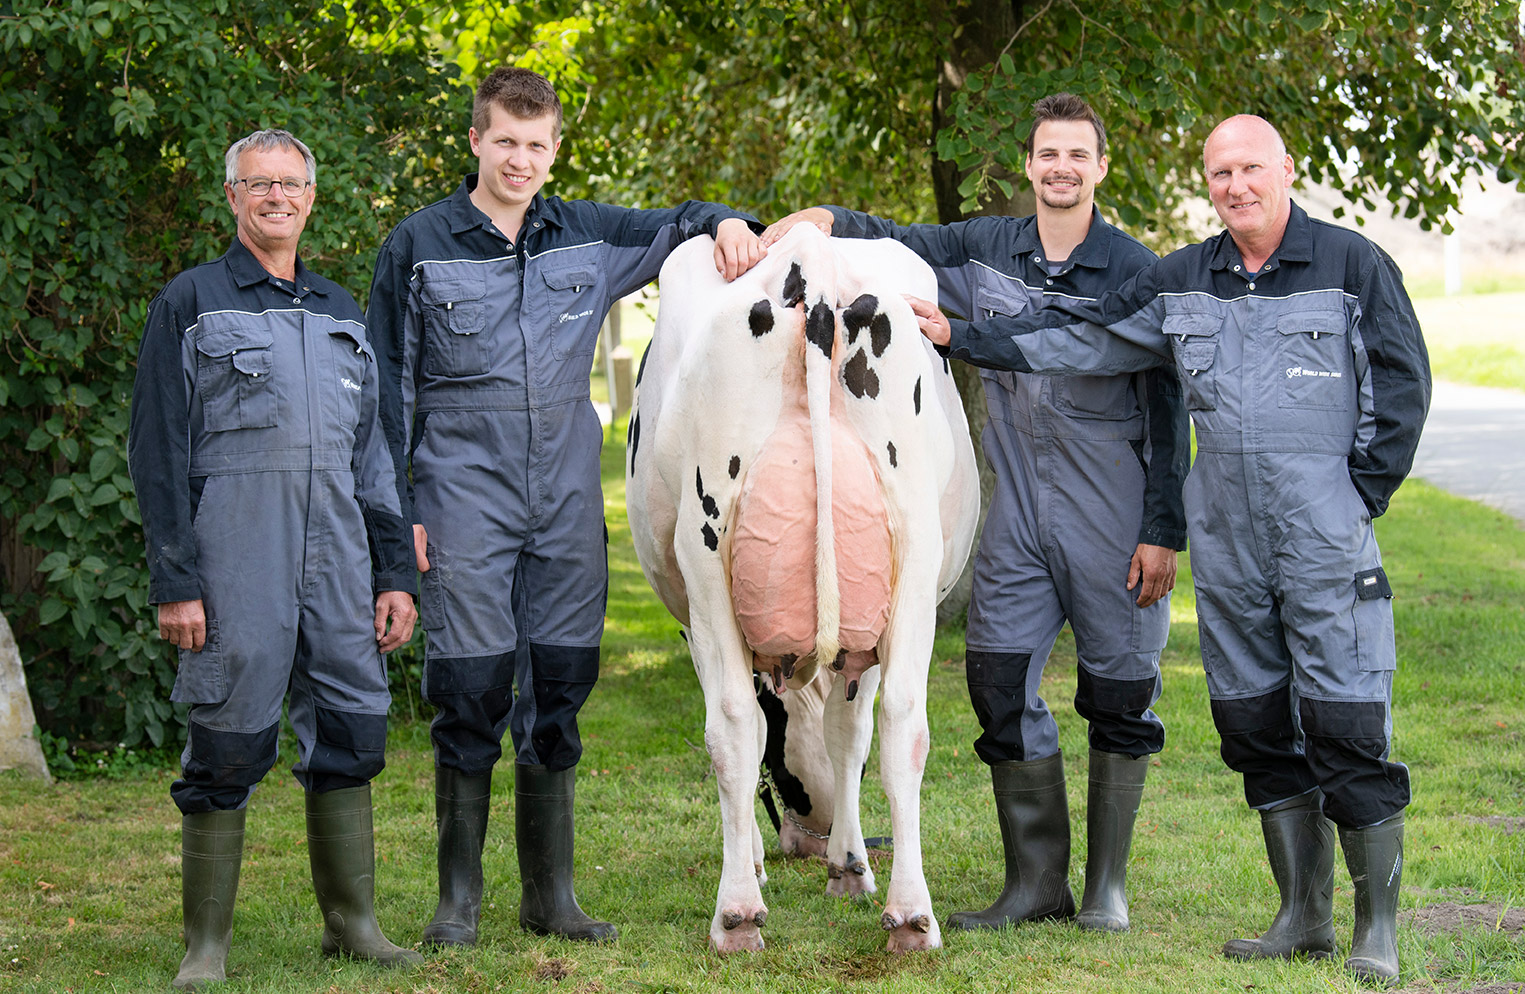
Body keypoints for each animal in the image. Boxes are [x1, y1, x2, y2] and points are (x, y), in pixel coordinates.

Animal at [628, 221, 976, 951]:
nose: (806, 839)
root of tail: (810, 255)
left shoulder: (693, 624)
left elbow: (780, 730)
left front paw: (808, 862)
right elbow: (852, 736)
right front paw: (848, 865)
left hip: (706, 556)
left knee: (733, 723)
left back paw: (737, 911)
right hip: (912, 551)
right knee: (904, 723)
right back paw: (911, 916)